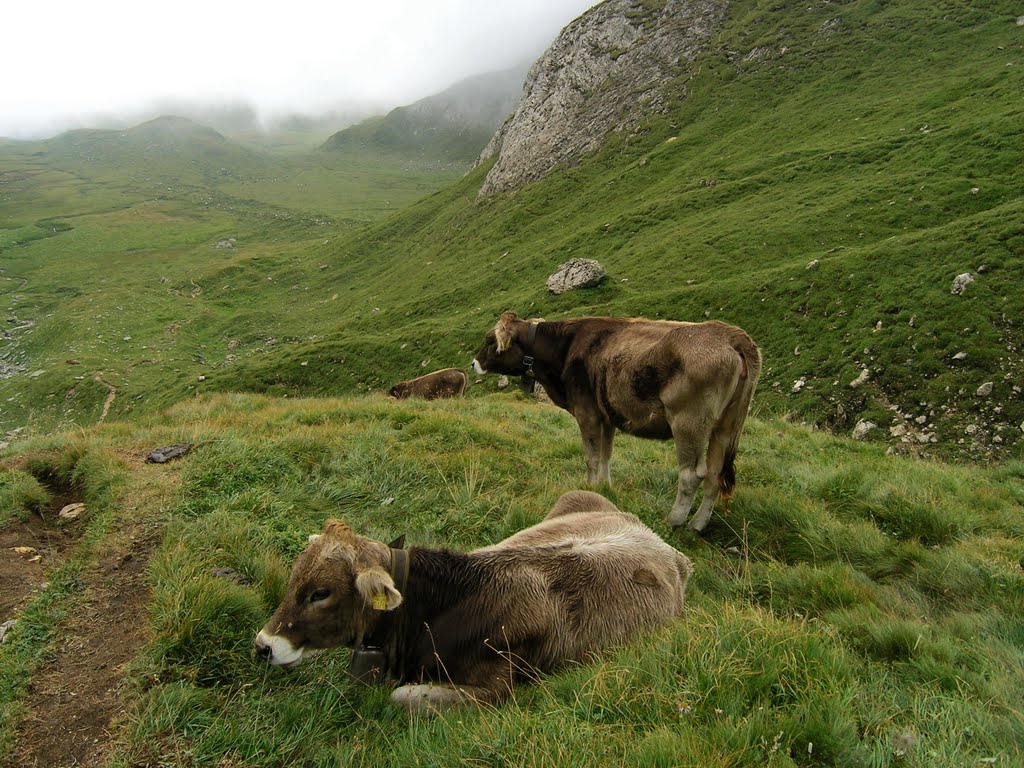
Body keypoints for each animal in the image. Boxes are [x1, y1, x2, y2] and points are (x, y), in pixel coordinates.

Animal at [251, 493, 692, 716]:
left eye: (320, 593)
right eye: (293, 578)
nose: (263, 645)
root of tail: (663, 545)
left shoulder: (499, 686)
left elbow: (404, 696)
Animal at [471, 313, 761, 536]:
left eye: (489, 340)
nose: (474, 363)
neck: (565, 348)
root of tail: (729, 335)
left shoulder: (586, 412)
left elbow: (591, 456)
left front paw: (589, 488)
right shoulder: (606, 415)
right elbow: (606, 454)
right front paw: (605, 489)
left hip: (688, 422)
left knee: (692, 475)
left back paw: (674, 520)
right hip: (725, 426)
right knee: (714, 475)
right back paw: (697, 525)